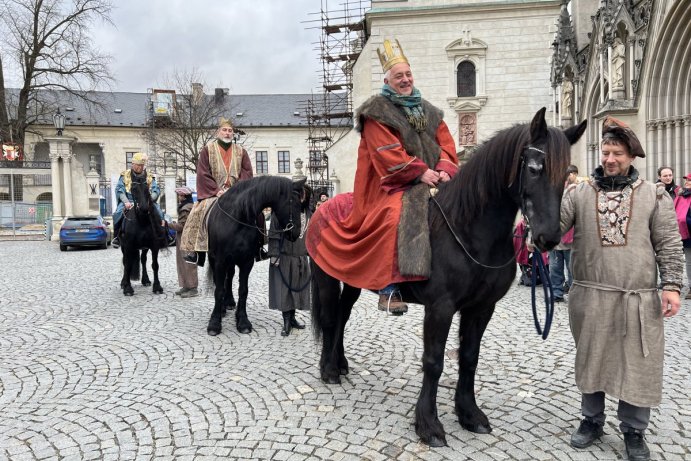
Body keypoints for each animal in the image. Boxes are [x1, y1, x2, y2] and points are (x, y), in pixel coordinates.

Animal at [205, 175, 302, 334]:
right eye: (295, 204)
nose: (296, 234)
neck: (238, 218)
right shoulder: (220, 261)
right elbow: (218, 290)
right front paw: (214, 323)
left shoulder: (247, 261)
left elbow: (243, 290)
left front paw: (242, 321)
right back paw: (223, 308)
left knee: (229, 277)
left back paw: (229, 302)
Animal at [310, 108, 588, 446]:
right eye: (535, 169)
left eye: (566, 175)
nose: (549, 239)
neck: (468, 230)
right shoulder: (440, 308)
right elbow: (434, 361)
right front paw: (428, 424)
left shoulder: (481, 308)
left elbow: (469, 356)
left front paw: (469, 413)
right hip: (325, 278)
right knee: (329, 318)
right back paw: (328, 369)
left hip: (354, 279)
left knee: (342, 315)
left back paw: (340, 364)